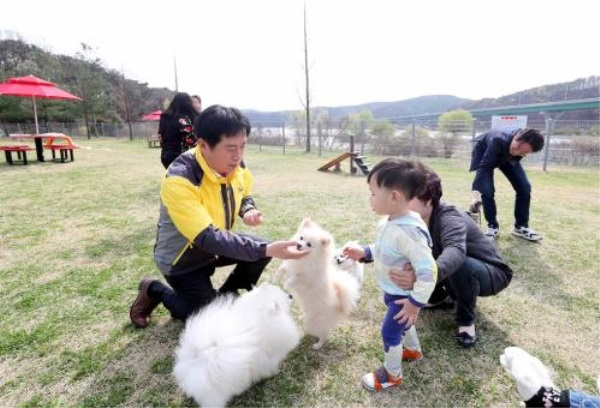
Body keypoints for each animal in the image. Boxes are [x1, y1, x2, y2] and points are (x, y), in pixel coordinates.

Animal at [276, 218, 360, 350]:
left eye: (309, 244)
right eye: (301, 238)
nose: (299, 245)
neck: (306, 259)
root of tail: (340, 306)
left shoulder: (307, 278)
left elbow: (297, 277)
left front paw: (288, 283)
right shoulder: (291, 265)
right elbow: (284, 267)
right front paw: (278, 273)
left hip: (314, 323)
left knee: (324, 334)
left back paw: (317, 345)